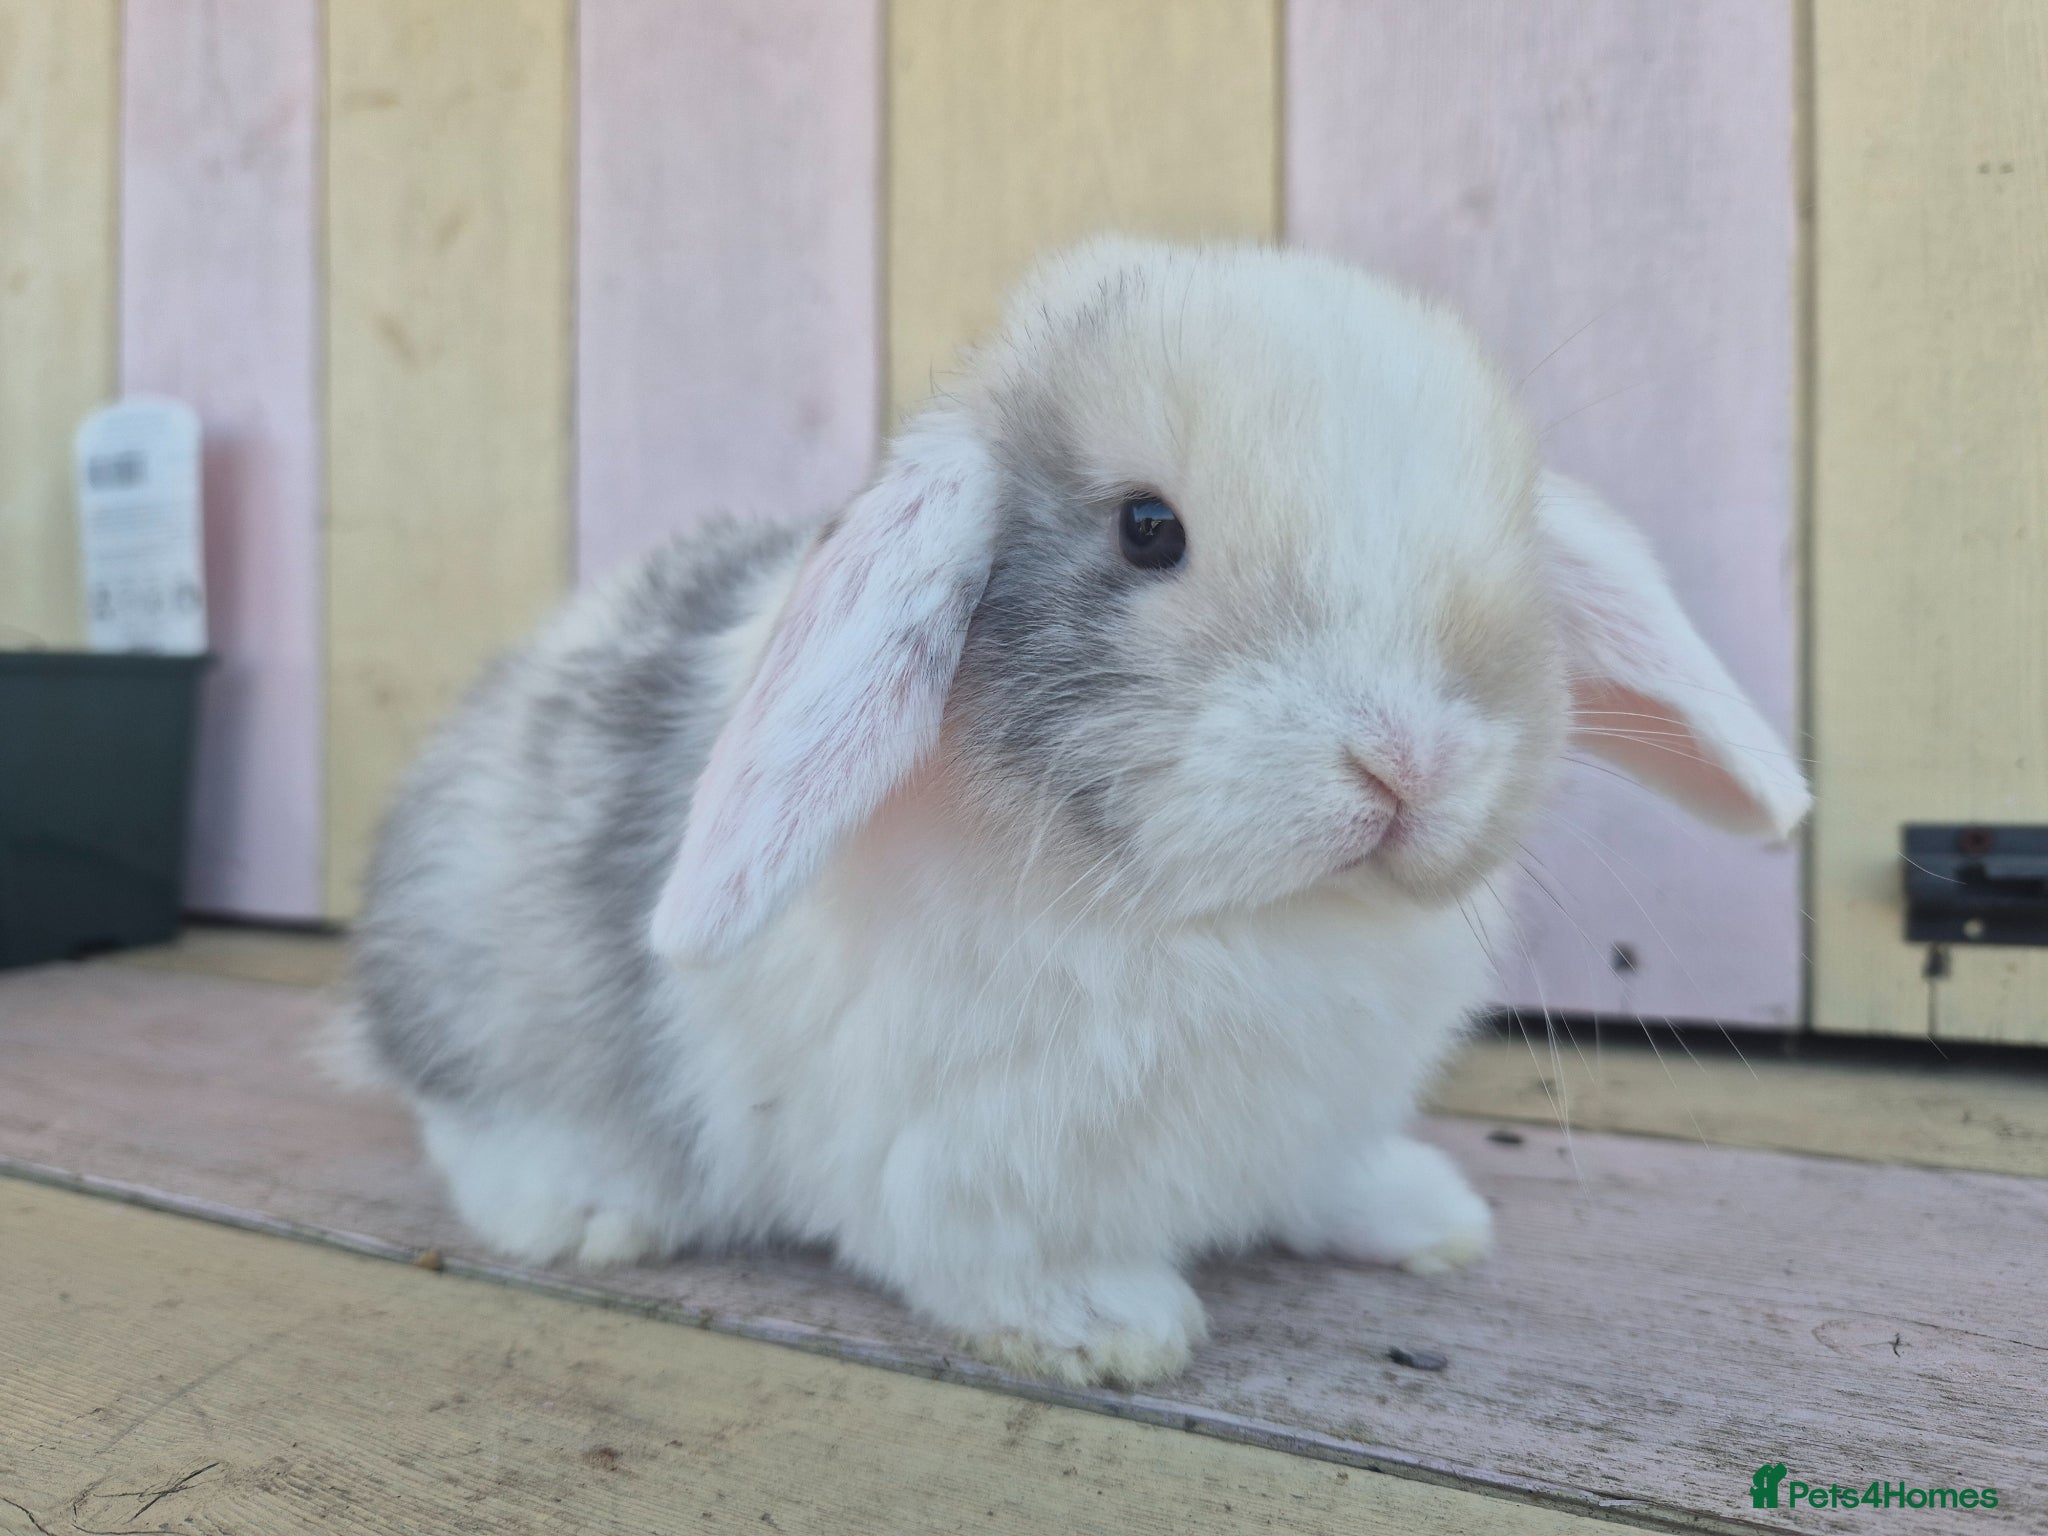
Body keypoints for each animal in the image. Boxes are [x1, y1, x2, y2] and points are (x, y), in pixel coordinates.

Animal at [345, 237, 1809, 1389]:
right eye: (1146, 529)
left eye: (1510, 532)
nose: (1411, 764)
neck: (1240, 917)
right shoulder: (946, 1159)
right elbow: (989, 1251)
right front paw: (1107, 1325)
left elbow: (1324, 1178)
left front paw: (1421, 1215)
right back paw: (590, 1204)